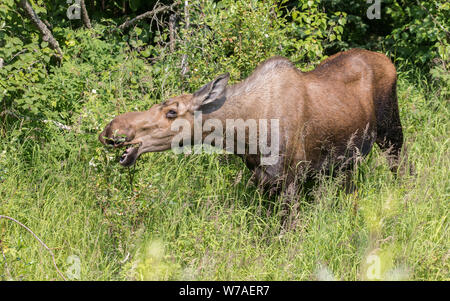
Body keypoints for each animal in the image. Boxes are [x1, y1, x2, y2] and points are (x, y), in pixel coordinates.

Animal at [99, 48, 404, 195]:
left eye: (172, 112)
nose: (111, 129)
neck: (243, 137)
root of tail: (390, 61)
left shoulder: (291, 176)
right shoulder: (260, 176)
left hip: (391, 129)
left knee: (403, 164)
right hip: (348, 158)